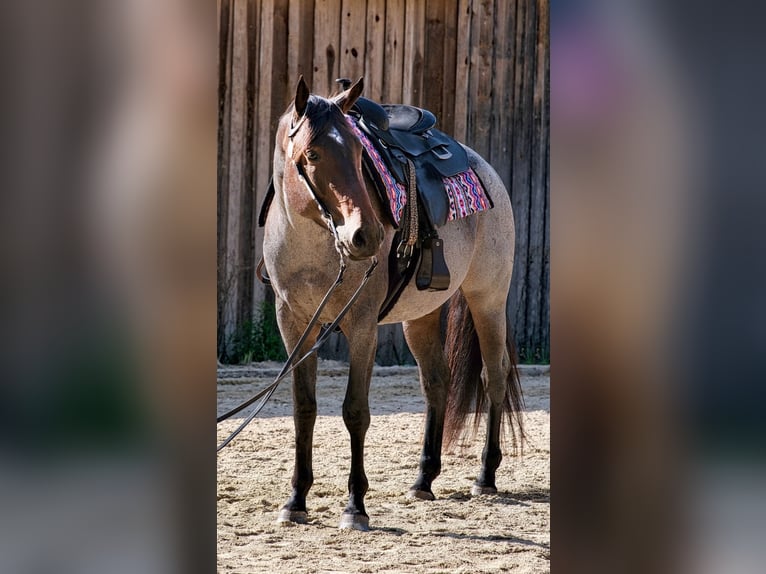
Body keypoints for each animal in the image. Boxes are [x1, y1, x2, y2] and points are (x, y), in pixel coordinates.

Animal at [261, 76, 524, 531]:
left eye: (357, 152)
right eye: (311, 154)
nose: (365, 236)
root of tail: (483, 167)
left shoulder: (362, 325)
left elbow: (355, 411)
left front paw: (355, 506)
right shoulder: (293, 326)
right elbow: (303, 409)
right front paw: (296, 500)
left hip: (487, 299)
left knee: (493, 377)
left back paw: (485, 476)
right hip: (421, 316)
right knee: (436, 381)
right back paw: (423, 479)